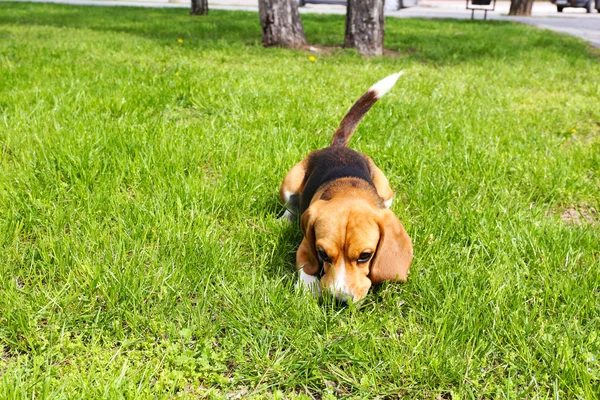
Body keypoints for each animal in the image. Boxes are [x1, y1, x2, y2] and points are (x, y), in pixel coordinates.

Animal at [280, 72, 412, 304]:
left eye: (365, 256)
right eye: (322, 253)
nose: (339, 300)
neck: (348, 192)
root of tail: (338, 147)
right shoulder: (305, 247)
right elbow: (306, 268)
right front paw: (308, 289)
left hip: (385, 189)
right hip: (289, 183)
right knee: (290, 206)